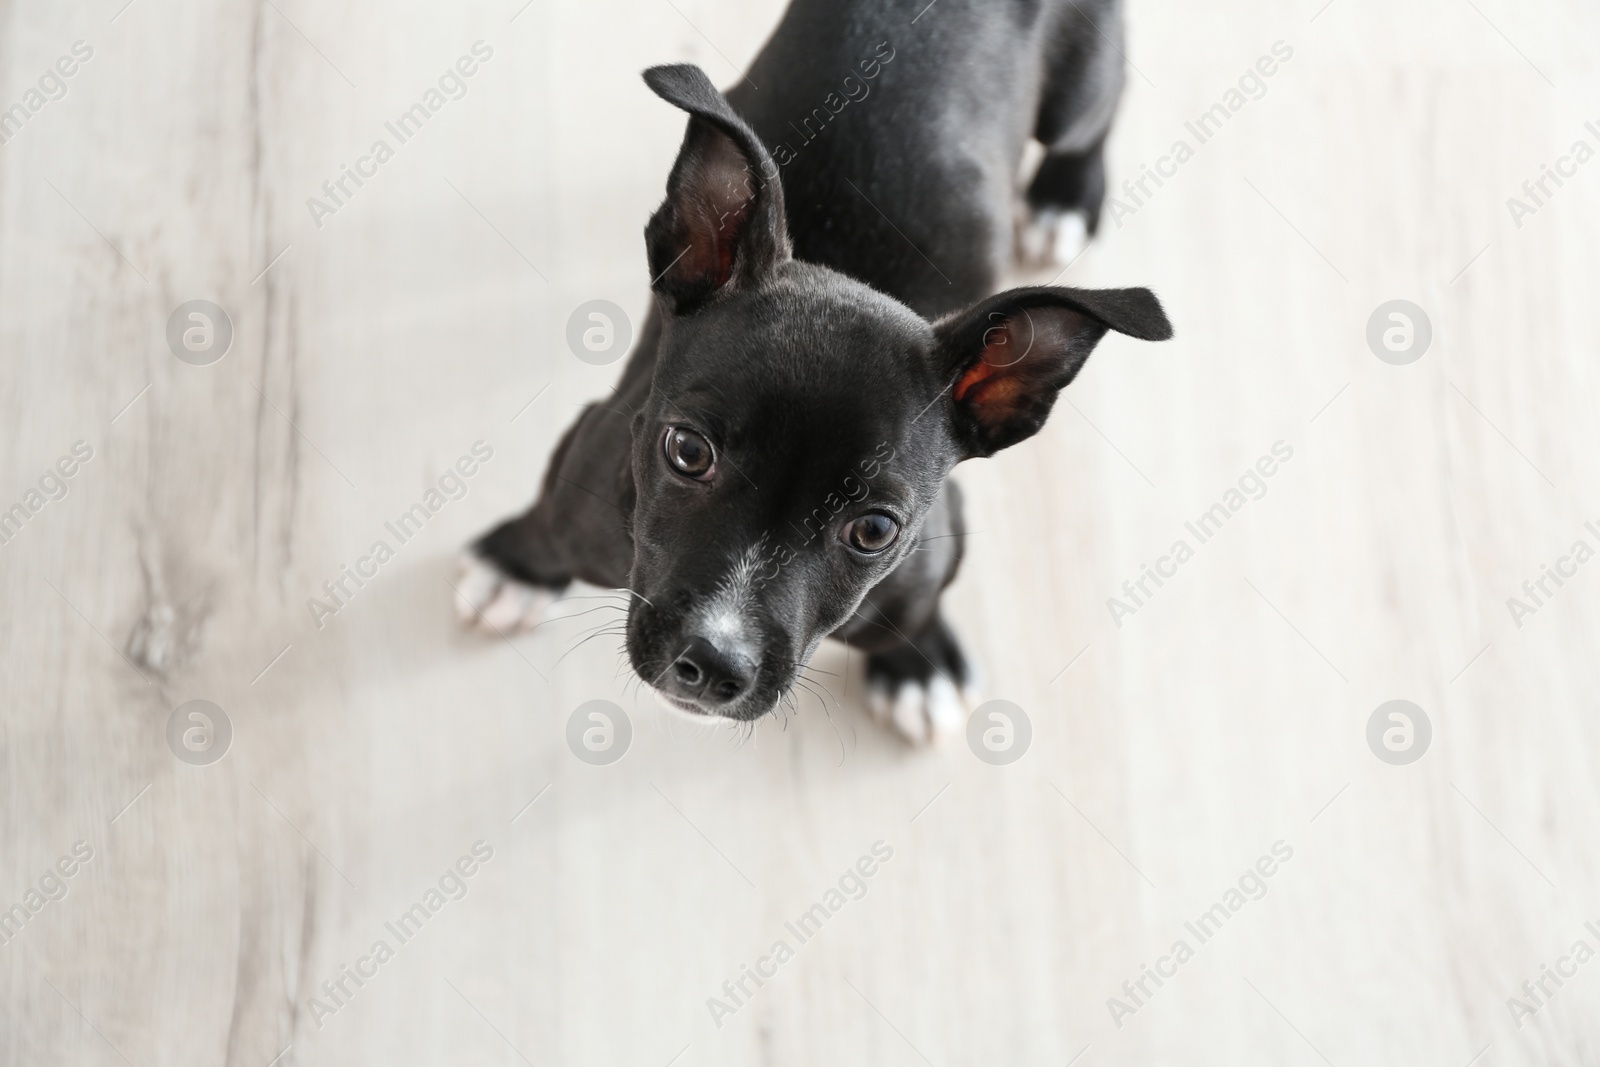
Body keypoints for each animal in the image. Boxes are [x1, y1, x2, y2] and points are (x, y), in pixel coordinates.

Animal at [457, 0, 1171, 748]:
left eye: (875, 531)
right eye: (687, 451)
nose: (714, 661)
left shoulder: (928, 562)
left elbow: (911, 615)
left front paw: (917, 663)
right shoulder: (588, 469)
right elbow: (550, 522)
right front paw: (515, 565)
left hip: (1075, 96)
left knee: (1093, 117)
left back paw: (1066, 198)